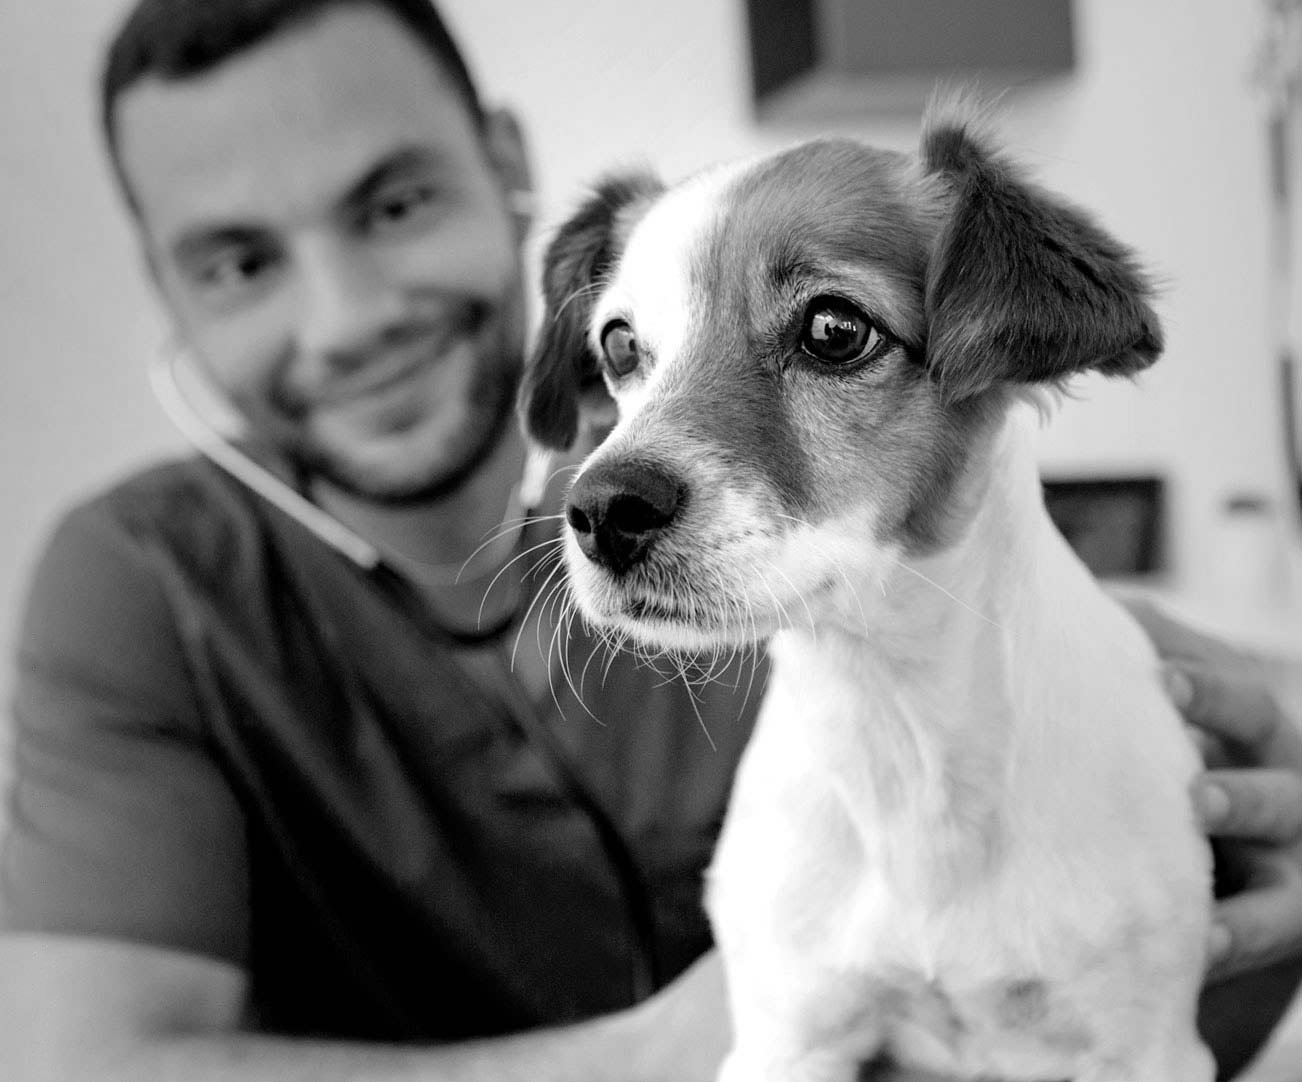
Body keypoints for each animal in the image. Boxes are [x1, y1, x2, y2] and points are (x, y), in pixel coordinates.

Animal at [515, 101, 1208, 1082]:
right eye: (618, 345)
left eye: (835, 330)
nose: (602, 509)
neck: (897, 721)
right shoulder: (786, 1035)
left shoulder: (1146, 1046)